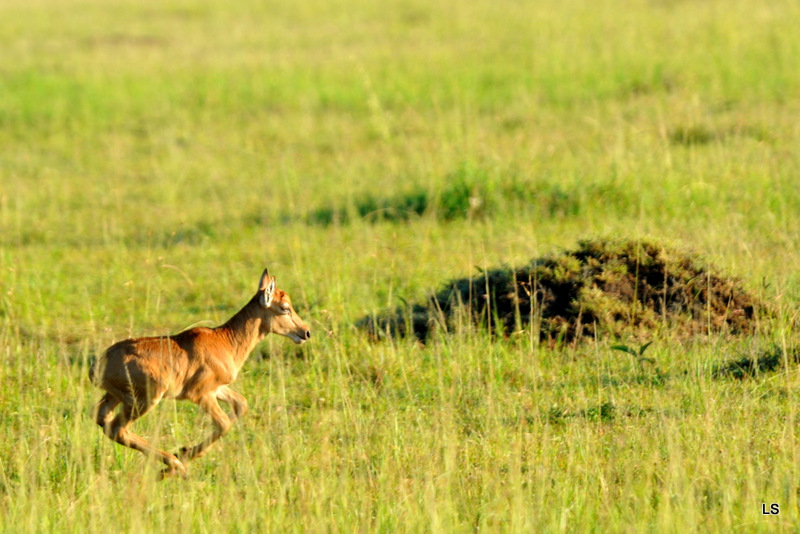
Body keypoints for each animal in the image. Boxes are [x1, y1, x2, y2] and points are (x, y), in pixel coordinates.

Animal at [90, 270, 310, 480]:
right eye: (285, 307)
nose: (306, 332)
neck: (223, 339)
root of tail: (100, 363)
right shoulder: (201, 395)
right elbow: (224, 423)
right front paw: (184, 454)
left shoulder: (217, 388)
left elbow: (241, 404)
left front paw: (184, 451)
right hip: (145, 400)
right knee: (118, 429)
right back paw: (172, 467)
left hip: (116, 397)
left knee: (102, 418)